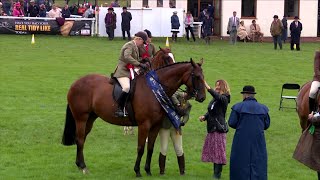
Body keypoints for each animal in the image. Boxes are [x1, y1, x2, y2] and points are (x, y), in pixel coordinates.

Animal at [60, 59, 205, 177]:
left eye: (203, 76)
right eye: (196, 76)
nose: (202, 97)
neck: (154, 89)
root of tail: (75, 83)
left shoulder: (155, 126)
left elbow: (150, 148)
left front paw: (148, 170)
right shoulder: (144, 125)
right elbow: (140, 148)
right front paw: (137, 171)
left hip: (90, 119)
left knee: (82, 139)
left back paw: (80, 165)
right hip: (81, 119)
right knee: (79, 140)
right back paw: (83, 167)